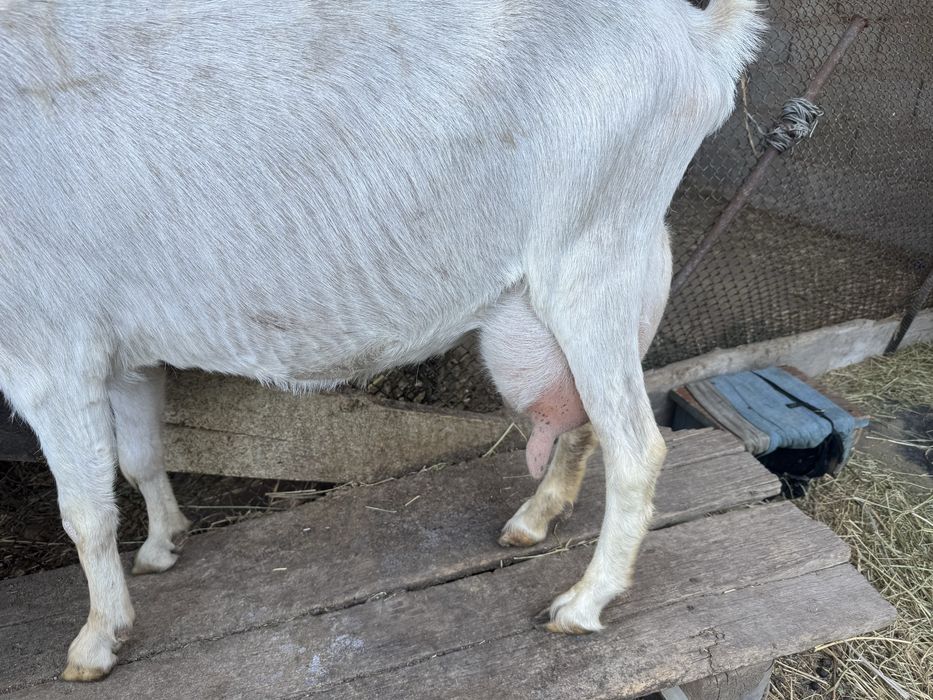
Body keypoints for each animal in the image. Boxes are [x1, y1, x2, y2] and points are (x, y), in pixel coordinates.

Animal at [0, 0, 762, 681]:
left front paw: (97, 640)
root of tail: (698, 37)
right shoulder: (121, 350)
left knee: (636, 445)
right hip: (617, 267)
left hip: (590, 258)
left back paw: (583, 602)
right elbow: (141, 457)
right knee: (587, 418)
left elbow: (85, 514)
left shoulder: (45, 351)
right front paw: (163, 545)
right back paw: (535, 517)